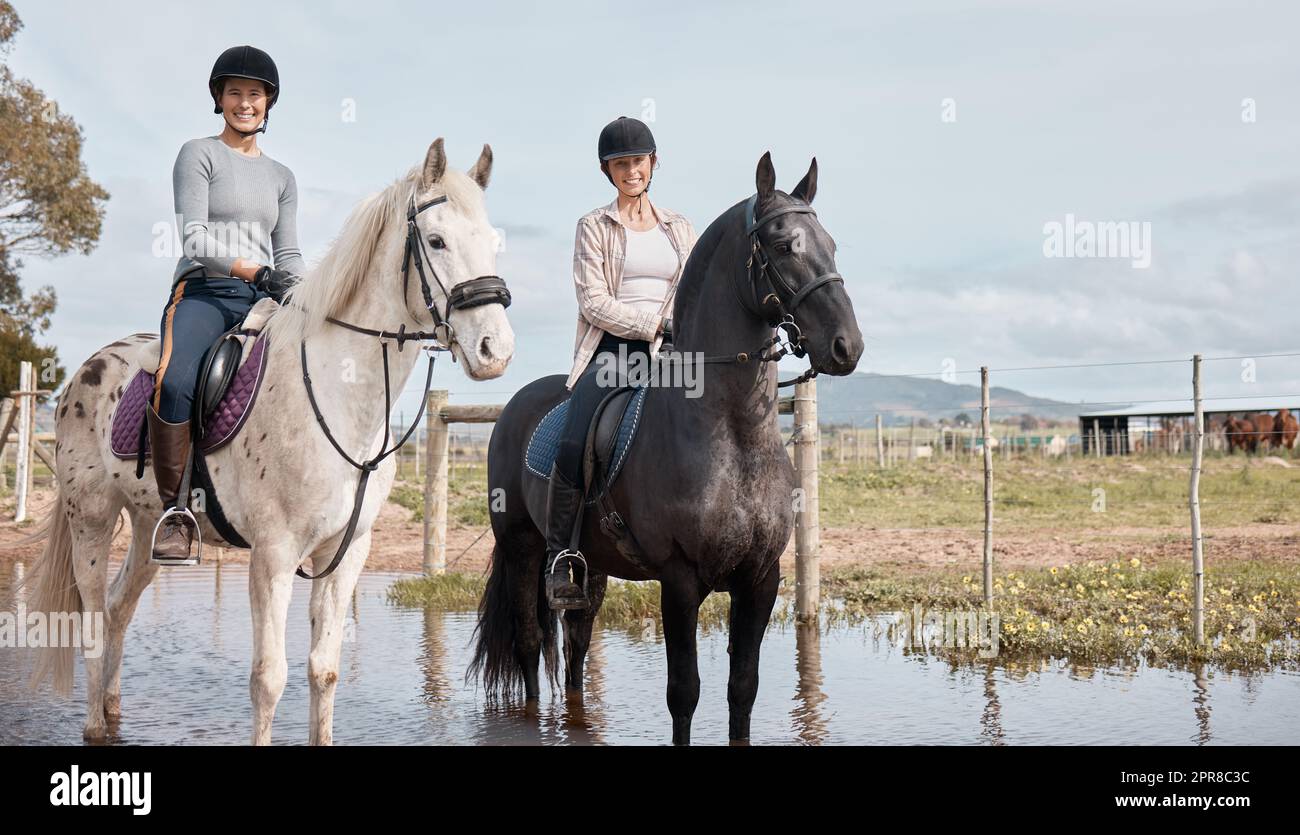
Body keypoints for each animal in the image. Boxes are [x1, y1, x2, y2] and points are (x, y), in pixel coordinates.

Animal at [470, 149, 863, 738]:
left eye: (831, 244)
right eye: (782, 246)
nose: (847, 346)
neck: (732, 435)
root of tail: (517, 405)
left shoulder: (760, 580)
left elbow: (741, 689)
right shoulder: (679, 580)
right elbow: (685, 693)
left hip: (591, 566)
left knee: (576, 646)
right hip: (522, 549)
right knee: (530, 646)